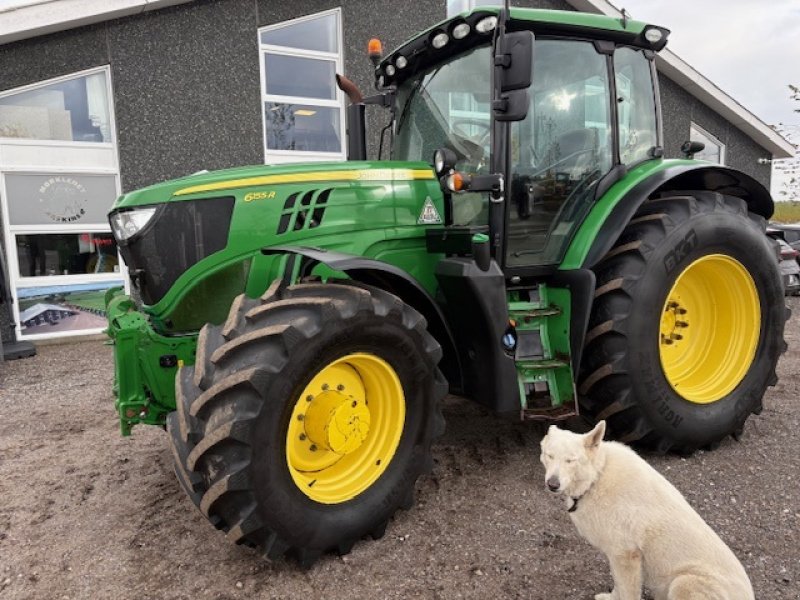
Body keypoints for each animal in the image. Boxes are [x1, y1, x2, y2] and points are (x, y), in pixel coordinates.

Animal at [540, 422, 752, 600]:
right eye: (550, 456)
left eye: (570, 460)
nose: (552, 484)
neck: (597, 477)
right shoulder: (617, 555)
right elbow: (618, 584)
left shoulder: (625, 554)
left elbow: (628, 592)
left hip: (682, 582)